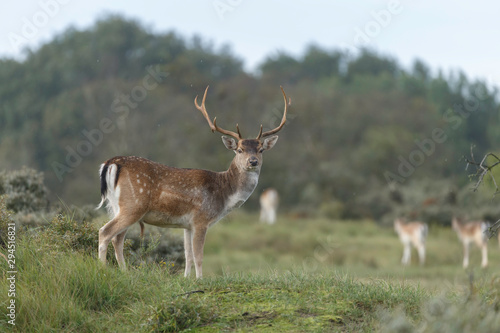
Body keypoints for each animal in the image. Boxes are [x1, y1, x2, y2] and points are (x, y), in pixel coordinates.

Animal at [96, 86, 290, 278]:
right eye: (240, 150)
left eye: (261, 149)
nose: (253, 161)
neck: (224, 194)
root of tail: (112, 163)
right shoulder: (201, 220)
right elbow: (199, 255)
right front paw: (200, 280)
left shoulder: (187, 225)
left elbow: (187, 254)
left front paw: (186, 279)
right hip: (134, 204)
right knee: (105, 232)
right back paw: (103, 269)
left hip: (117, 206)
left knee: (117, 238)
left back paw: (124, 271)